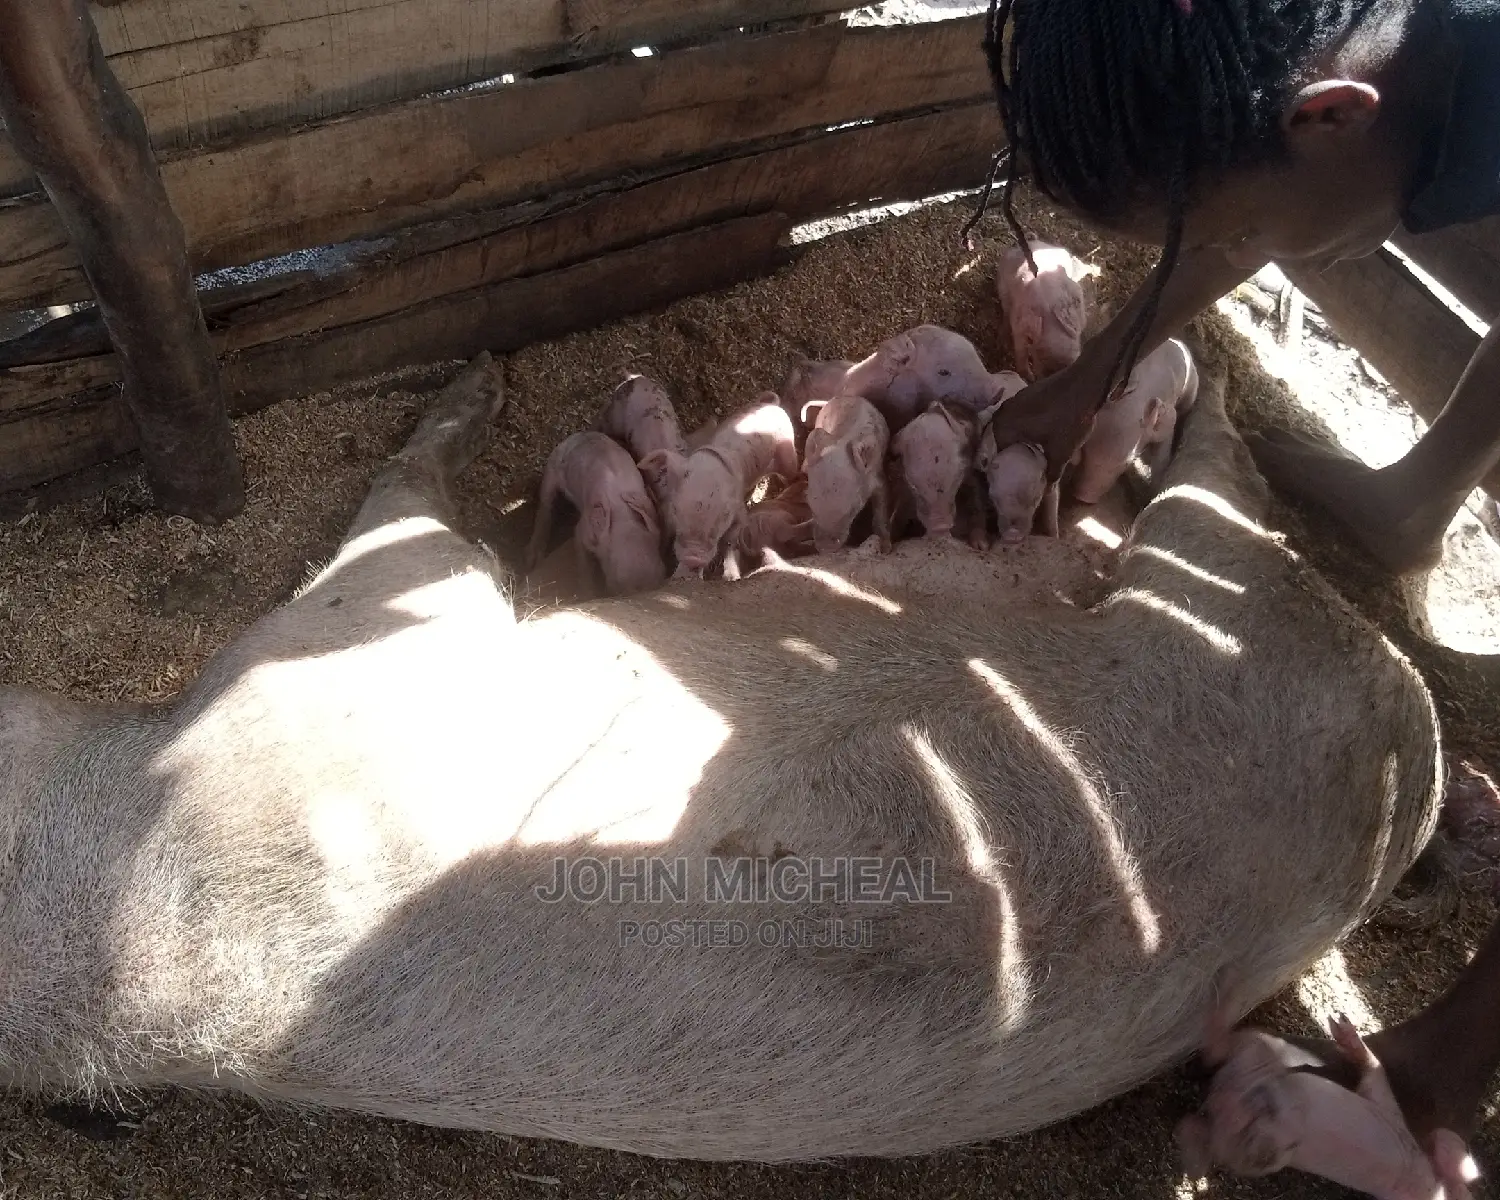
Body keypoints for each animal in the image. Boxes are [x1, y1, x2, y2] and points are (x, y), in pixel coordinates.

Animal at [524, 431, 667, 597]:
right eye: (615, 584)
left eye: (662, 572)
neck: (625, 518)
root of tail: (578, 434)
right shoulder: (584, 530)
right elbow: (582, 562)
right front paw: (587, 595)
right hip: (552, 467)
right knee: (545, 504)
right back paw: (532, 561)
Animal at [637, 393, 799, 579]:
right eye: (676, 509)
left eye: (724, 515)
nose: (692, 558)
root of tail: (773, 405)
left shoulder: (740, 512)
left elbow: (730, 542)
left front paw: (730, 577)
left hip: (787, 452)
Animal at [801, 393, 893, 554]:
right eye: (810, 504)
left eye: (852, 510)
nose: (825, 547)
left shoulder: (877, 478)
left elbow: (881, 507)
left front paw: (886, 547)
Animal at [889, 400, 988, 548]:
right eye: (913, 485)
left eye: (958, 475)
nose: (939, 528)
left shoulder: (970, 477)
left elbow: (977, 502)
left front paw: (982, 546)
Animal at [1072, 338, 1200, 505]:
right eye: (1086, 450)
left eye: (1127, 463)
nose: (1083, 497)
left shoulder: (1168, 416)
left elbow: (1162, 457)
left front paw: (1152, 496)